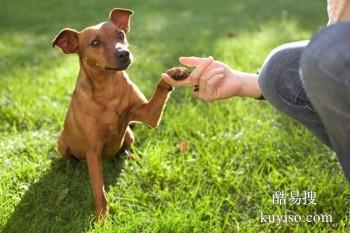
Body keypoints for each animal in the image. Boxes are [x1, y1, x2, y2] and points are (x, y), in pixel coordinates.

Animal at [52, 7, 189, 218]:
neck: (109, 90)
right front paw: (102, 218)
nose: (124, 53)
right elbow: (99, 191)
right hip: (62, 142)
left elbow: (161, 88)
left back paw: (131, 156)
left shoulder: (149, 115)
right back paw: (73, 165)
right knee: (70, 157)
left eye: (120, 34)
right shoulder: (93, 151)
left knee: (126, 147)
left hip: (129, 133)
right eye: (95, 43)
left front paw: (173, 73)